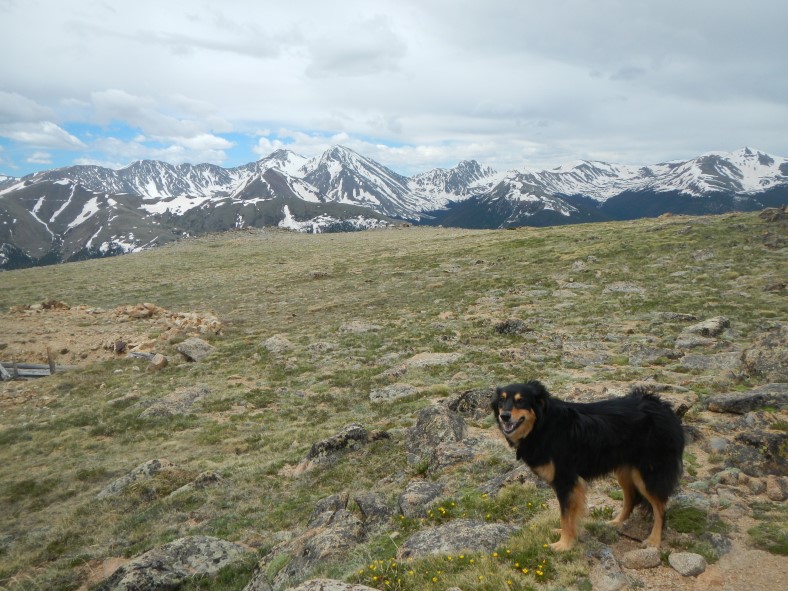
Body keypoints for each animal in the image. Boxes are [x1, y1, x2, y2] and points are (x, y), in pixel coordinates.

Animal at [492, 382, 684, 552]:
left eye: (521, 401)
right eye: (501, 401)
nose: (504, 416)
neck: (542, 425)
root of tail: (661, 406)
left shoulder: (567, 481)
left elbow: (566, 515)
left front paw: (564, 544)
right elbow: (568, 516)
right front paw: (567, 535)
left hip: (648, 473)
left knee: (660, 508)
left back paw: (654, 540)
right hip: (625, 470)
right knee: (631, 498)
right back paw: (617, 522)